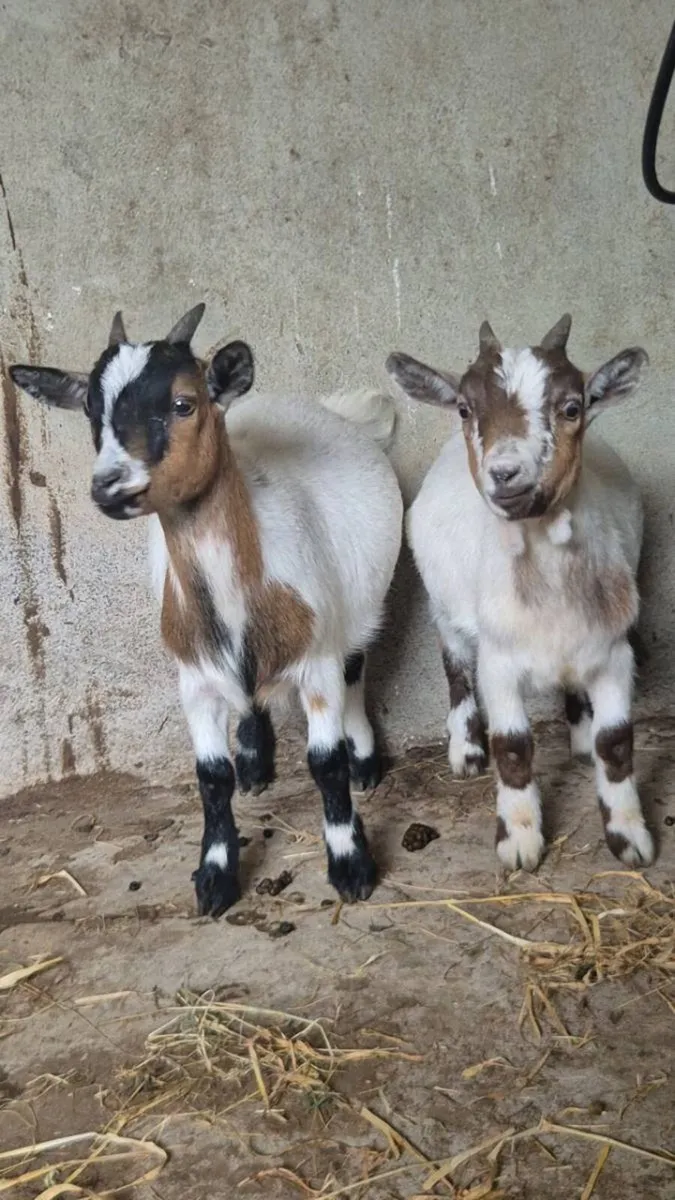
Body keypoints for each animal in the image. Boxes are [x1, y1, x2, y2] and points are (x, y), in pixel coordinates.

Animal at [11, 304, 403, 916]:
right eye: (92, 411)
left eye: (183, 403)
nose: (109, 486)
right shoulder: (194, 677)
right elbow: (210, 776)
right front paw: (216, 874)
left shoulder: (316, 662)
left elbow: (325, 762)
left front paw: (351, 864)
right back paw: (255, 761)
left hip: (360, 609)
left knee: (357, 667)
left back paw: (364, 760)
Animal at [386, 314, 653, 872]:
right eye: (465, 408)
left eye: (572, 407)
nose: (505, 473)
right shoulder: (499, 661)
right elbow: (512, 746)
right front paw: (520, 840)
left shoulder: (613, 651)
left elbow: (617, 742)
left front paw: (629, 837)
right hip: (442, 608)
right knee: (454, 668)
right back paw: (465, 751)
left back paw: (579, 738)